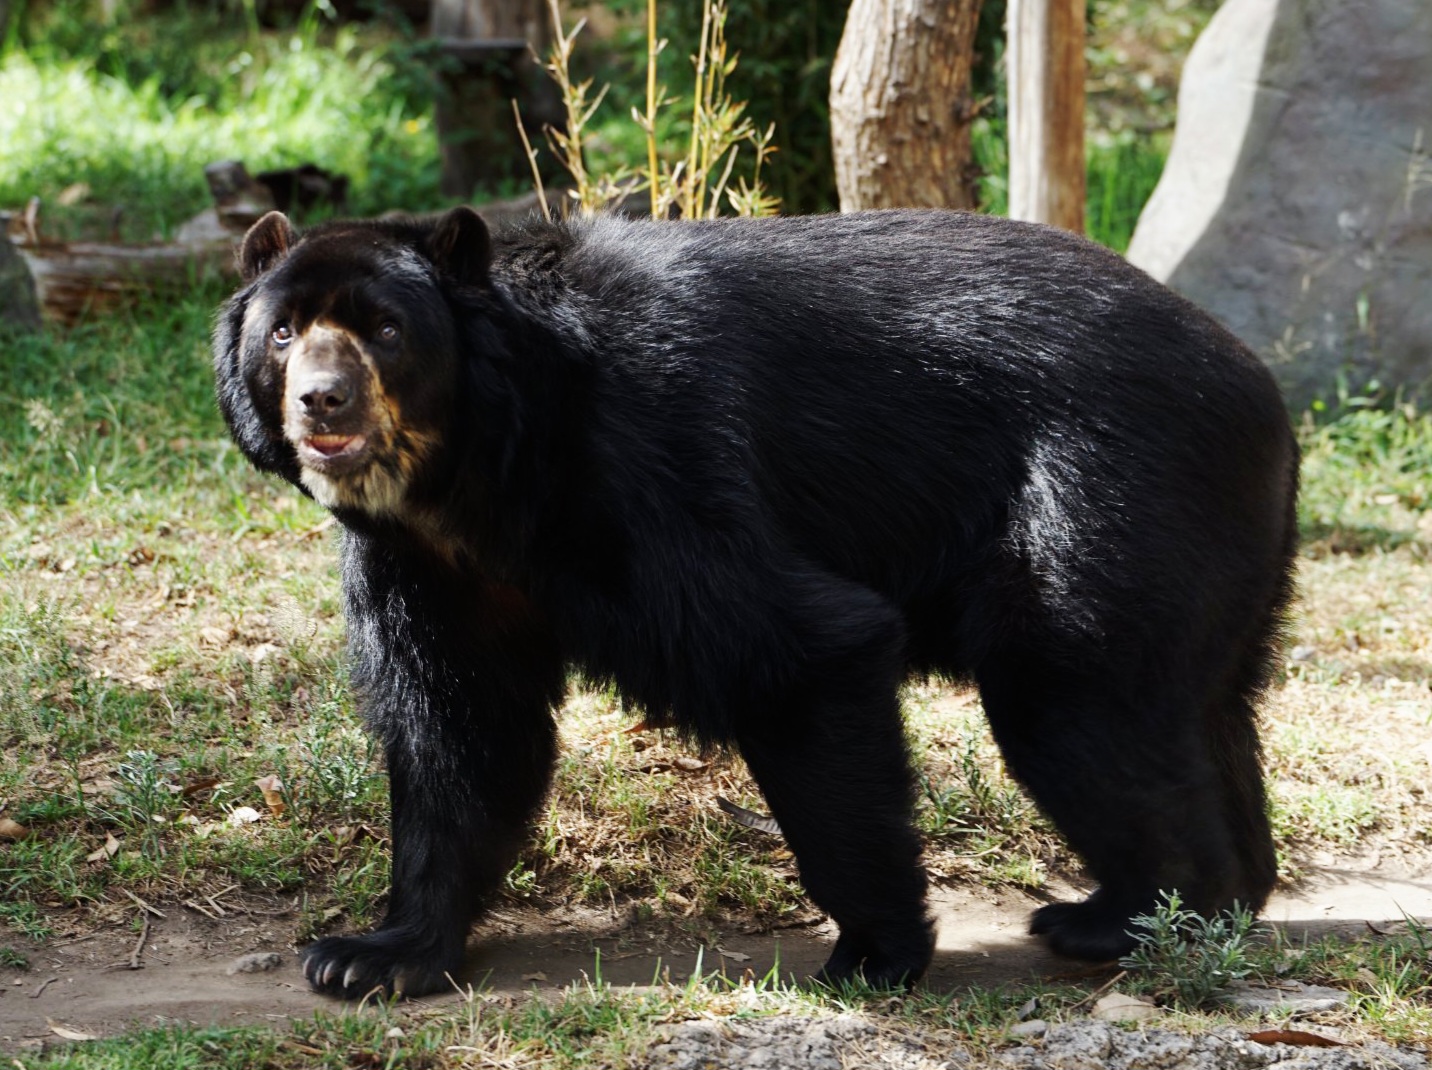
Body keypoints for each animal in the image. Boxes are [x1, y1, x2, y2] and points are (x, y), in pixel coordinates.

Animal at [213, 205, 1299, 999]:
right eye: (283, 332)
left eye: (387, 332)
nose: (321, 402)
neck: (475, 469)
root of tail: (1262, 388)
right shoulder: (432, 565)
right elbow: (455, 728)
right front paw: (373, 953)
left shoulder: (649, 467)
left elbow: (803, 647)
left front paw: (872, 953)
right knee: (1192, 711)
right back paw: (1221, 893)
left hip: (1110, 502)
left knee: (1078, 701)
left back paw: (1124, 915)